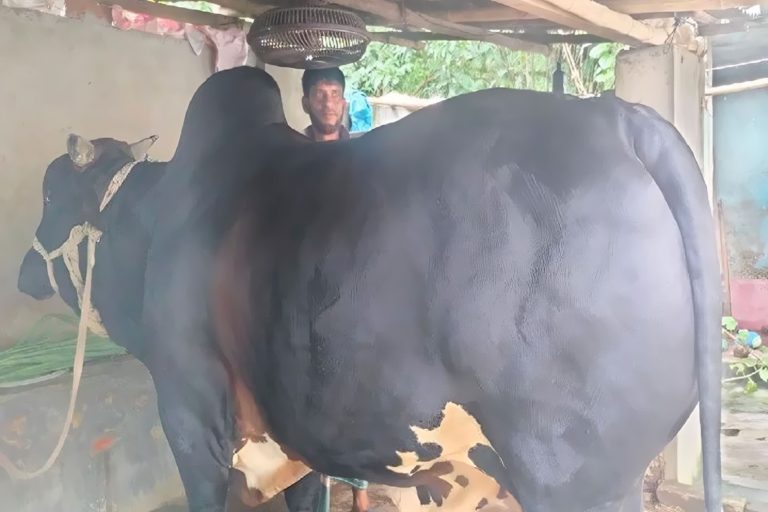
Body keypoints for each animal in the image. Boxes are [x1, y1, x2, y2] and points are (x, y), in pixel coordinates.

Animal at [17, 66, 722, 512]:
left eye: (50, 194)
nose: (23, 272)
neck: (155, 221)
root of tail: (618, 118)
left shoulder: (193, 425)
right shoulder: (294, 444)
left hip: (574, 478)